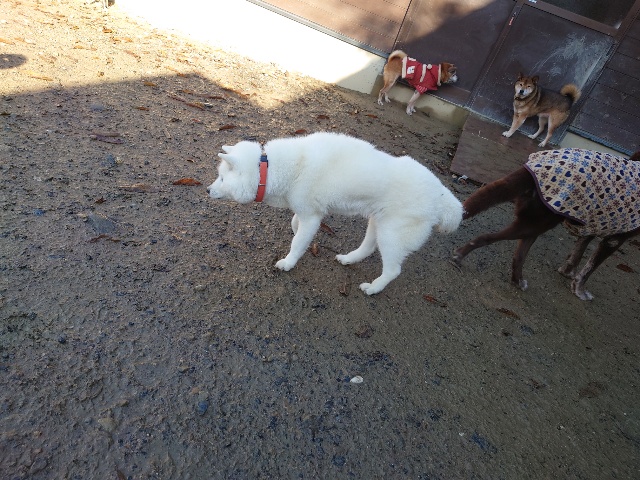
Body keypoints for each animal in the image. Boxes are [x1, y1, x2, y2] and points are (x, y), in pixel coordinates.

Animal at [207, 132, 463, 295]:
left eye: (222, 179)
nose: (207, 189)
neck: (270, 168)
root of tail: (442, 197)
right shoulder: (309, 211)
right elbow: (295, 224)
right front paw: (296, 233)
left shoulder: (312, 216)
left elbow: (297, 243)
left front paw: (288, 262)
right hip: (378, 223)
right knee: (368, 248)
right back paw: (349, 259)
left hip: (391, 235)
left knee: (393, 270)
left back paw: (374, 288)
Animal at [452, 148, 640, 300]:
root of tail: (533, 169)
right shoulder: (615, 239)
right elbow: (589, 269)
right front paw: (579, 290)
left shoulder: (591, 225)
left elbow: (578, 254)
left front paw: (567, 272)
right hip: (535, 224)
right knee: (487, 238)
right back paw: (460, 256)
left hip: (534, 225)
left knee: (518, 256)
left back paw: (517, 281)